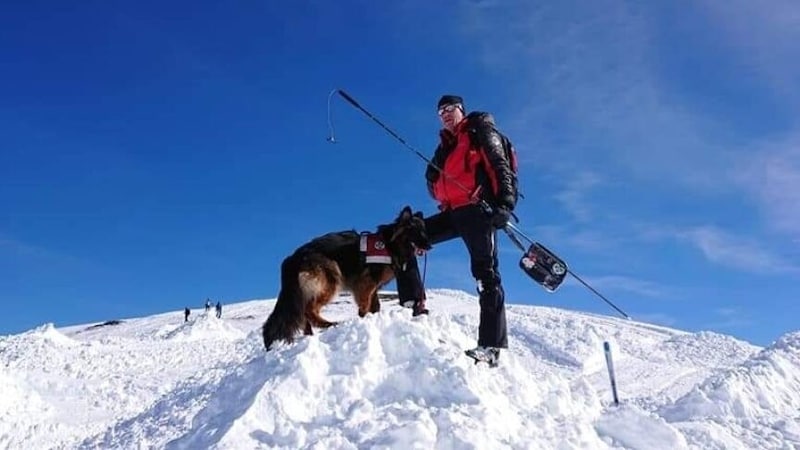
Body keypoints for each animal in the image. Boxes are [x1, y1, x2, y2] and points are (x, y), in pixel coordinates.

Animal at [262, 207, 432, 352]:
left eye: (424, 230)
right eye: (415, 231)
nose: (430, 246)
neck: (389, 244)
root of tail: (293, 257)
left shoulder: (373, 287)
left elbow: (375, 306)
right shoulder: (365, 284)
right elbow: (365, 305)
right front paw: (363, 319)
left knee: (304, 312)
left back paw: (310, 334)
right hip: (332, 279)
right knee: (309, 310)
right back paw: (329, 324)